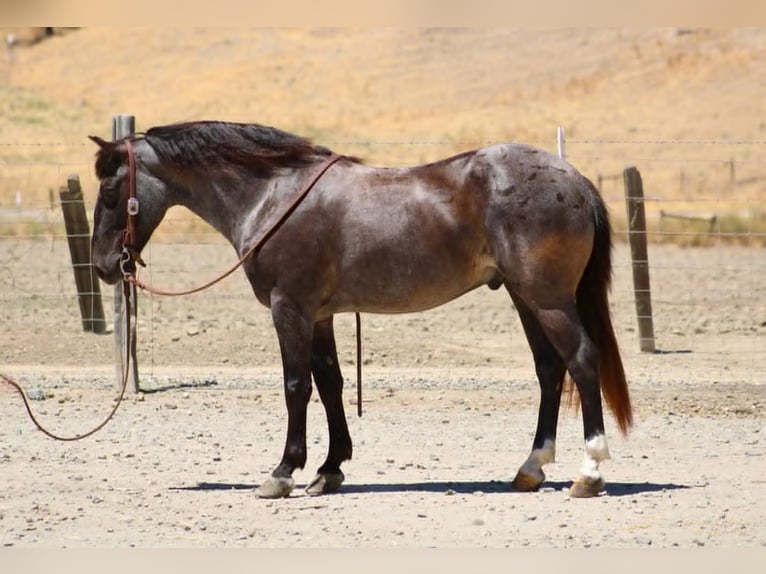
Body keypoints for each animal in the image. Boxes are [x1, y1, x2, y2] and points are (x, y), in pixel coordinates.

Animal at [89, 120, 632, 499]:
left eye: (111, 191)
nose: (103, 266)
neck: (273, 195)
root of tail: (575, 179)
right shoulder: (320, 314)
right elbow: (330, 383)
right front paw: (329, 470)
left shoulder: (290, 308)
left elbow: (296, 386)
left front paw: (283, 473)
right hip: (524, 297)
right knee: (549, 370)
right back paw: (531, 468)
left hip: (547, 299)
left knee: (582, 361)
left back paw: (589, 472)